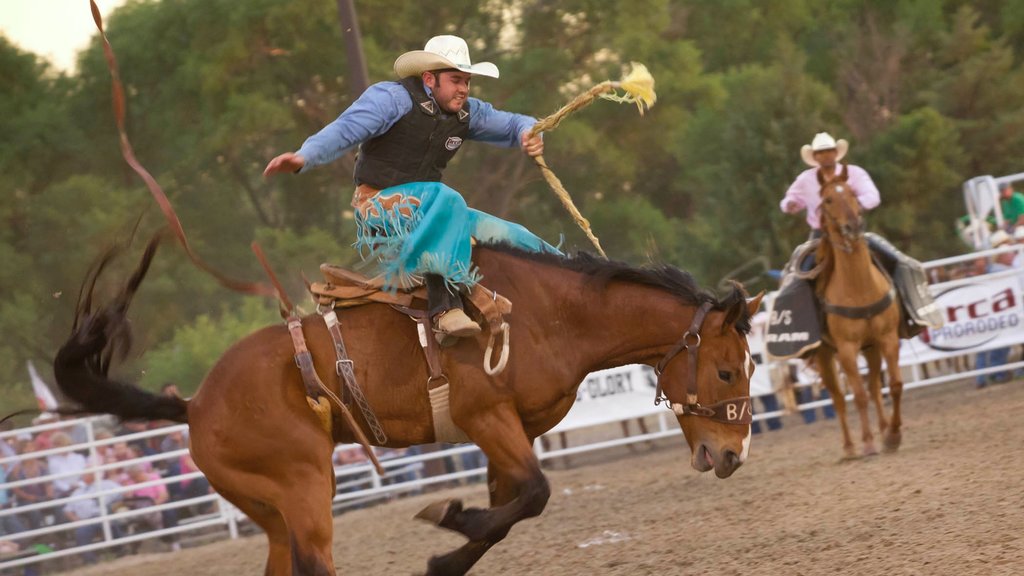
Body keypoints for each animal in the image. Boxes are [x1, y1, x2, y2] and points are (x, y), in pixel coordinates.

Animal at [51, 234, 765, 573]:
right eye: (728, 369)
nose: (732, 454)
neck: (550, 316)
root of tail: (197, 403)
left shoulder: (510, 431)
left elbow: (508, 510)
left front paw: (451, 541)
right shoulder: (487, 419)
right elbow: (532, 495)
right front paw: (447, 521)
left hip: (267, 506)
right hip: (303, 484)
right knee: (313, 564)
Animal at [811, 166, 901, 457]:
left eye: (852, 193)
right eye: (828, 200)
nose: (853, 226)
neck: (860, 287)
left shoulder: (887, 338)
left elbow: (893, 386)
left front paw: (893, 435)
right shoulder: (847, 349)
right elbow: (858, 396)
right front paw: (869, 443)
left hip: (871, 348)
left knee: (874, 387)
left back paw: (883, 428)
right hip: (825, 355)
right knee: (839, 398)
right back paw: (850, 447)